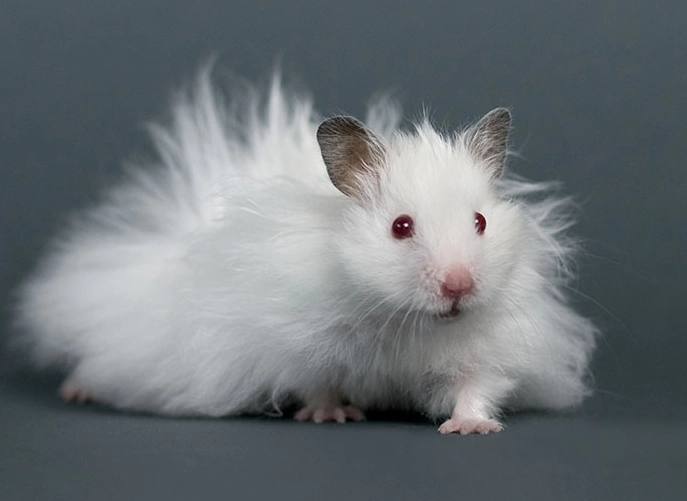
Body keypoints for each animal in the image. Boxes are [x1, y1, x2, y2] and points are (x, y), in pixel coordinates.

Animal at [13, 70, 598, 434]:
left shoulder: (493, 347)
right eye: (400, 227)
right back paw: (76, 391)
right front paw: (328, 416)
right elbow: (317, 381)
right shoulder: (293, 339)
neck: (402, 319)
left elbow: (476, 386)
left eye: (480, 222)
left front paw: (471, 428)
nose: (459, 287)